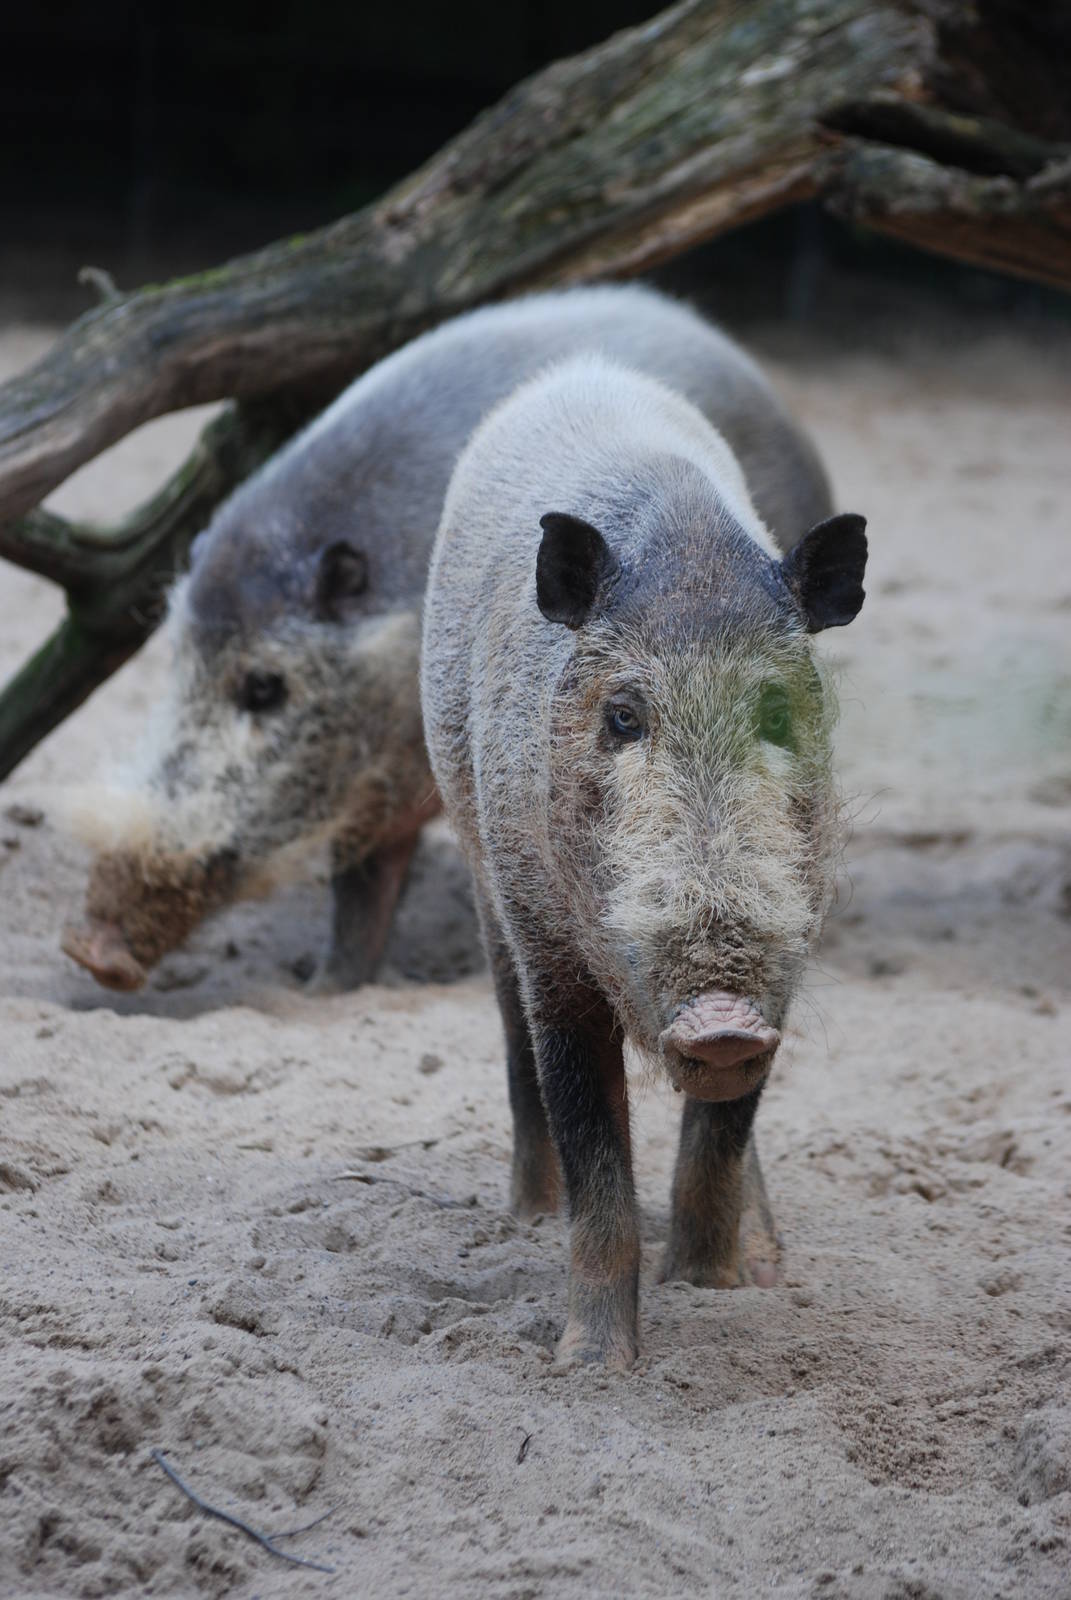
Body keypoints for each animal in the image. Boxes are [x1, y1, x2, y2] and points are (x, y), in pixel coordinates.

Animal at [421, 354, 867, 1369]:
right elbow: (591, 1144)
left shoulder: (790, 950)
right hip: (481, 870)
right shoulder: (549, 946)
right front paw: (589, 1365)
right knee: (510, 1041)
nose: (720, 1020)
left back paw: (767, 1258)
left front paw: (714, 1289)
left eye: (776, 714)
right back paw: (525, 1218)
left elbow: (721, 1137)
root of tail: (581, 367)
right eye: (623, 717)